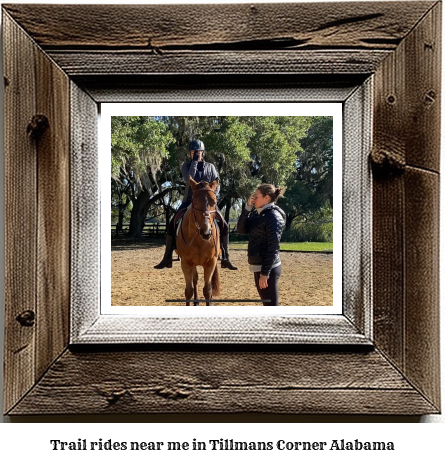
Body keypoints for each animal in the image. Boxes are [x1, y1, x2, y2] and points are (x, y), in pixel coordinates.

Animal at [175, 175, 220, 304]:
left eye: (214, 202)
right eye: (194, 202)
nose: (206, 232)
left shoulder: (211, 262)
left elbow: (207, 291)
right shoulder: (186, 262)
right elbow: (188, 291)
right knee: (194, 279)